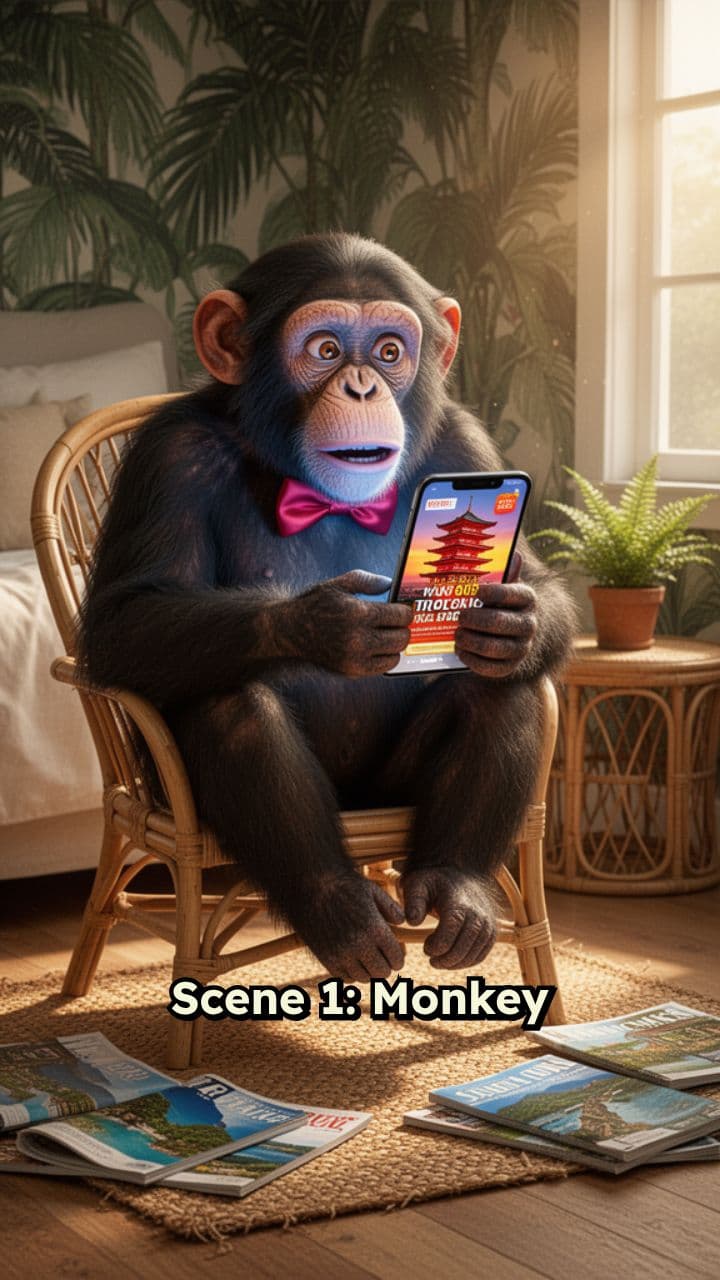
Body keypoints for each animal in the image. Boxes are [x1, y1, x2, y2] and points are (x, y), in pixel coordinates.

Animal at [79, 233, 577, 983]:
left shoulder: (466, 444)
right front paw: (329, 625)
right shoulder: (170, 455)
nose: (363, 385)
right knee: (229, 701)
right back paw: (341, 912)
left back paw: (456, 886)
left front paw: (511, 624)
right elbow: (124, 619)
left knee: (496, 686)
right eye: (325, 348)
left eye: (390, 350)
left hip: (388, 795)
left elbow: (533, 582)